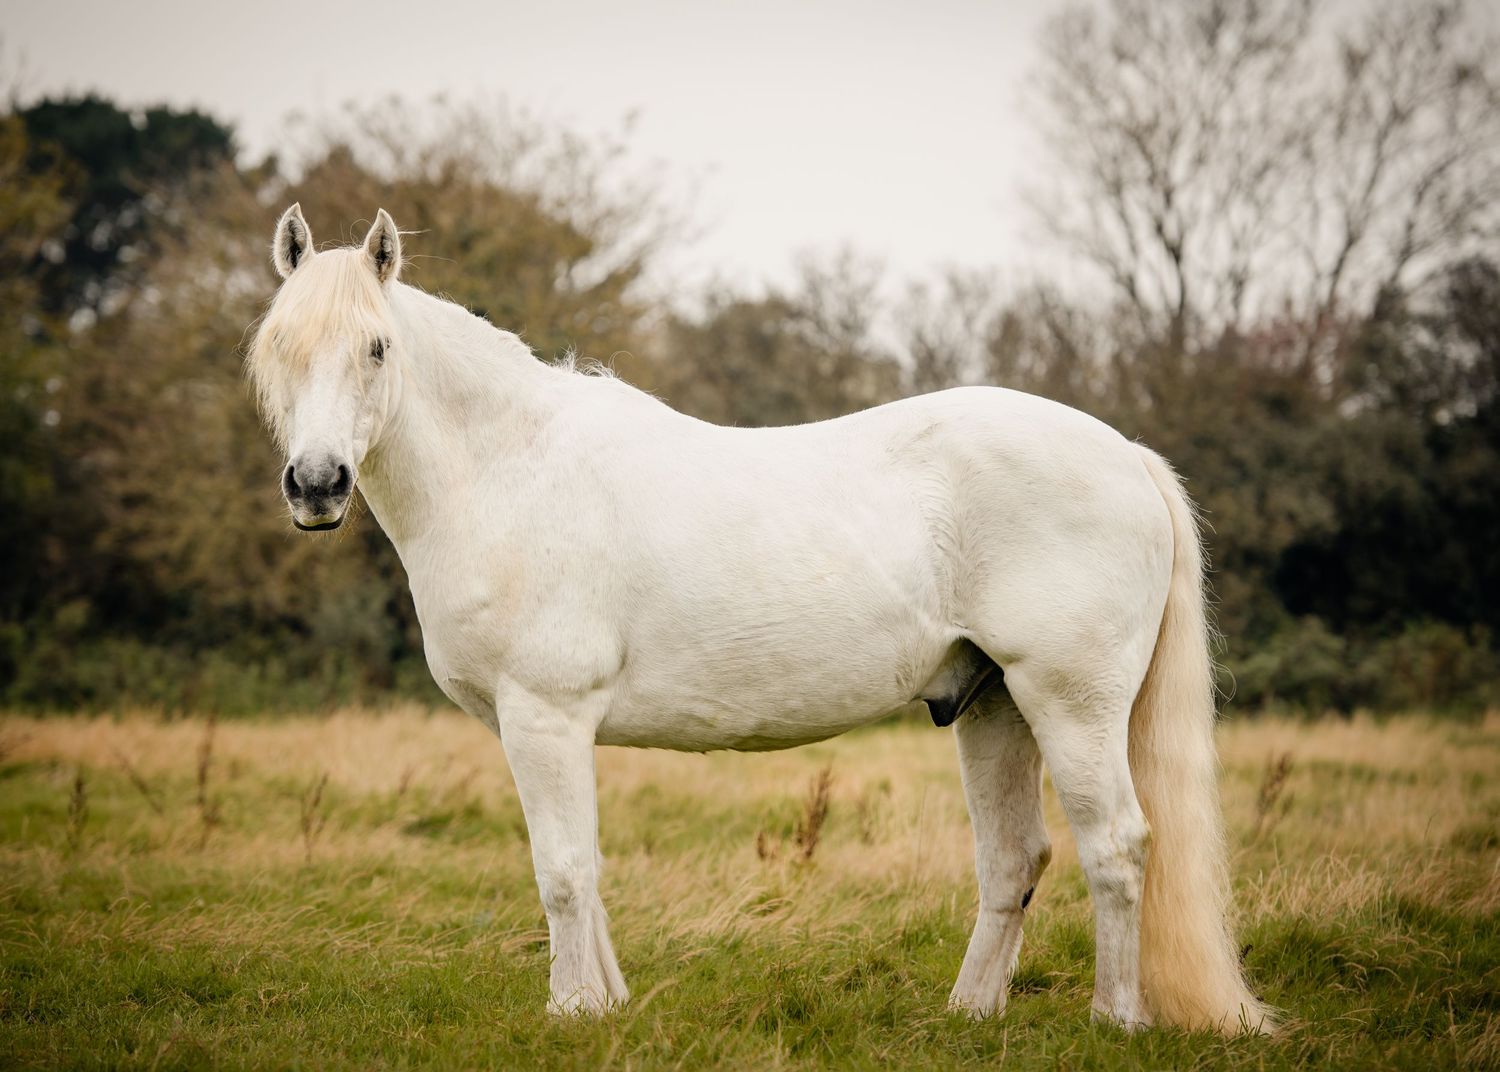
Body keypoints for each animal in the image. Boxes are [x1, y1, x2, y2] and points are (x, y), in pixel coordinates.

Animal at [247, 204, 1272, 1034]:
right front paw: (607, 1004)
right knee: (1014, 859)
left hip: (1070, 704)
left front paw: (571, 1011)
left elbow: (563, 871)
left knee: (1118, 848)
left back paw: (1116, 1019)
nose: (316, 485)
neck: (509, 467)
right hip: (994, 706)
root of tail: (1126, 454)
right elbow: (590, 870)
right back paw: (969, 1015)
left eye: (377, 348)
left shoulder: (543, 716)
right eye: (279, 347)